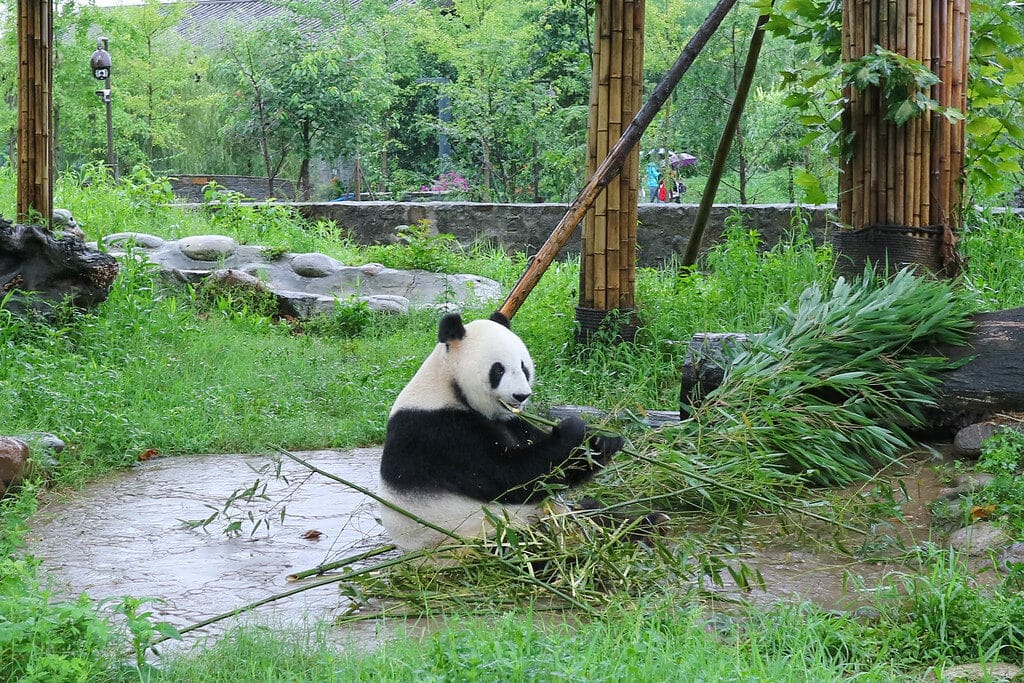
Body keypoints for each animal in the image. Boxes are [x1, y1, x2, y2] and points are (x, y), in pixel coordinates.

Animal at [378, 310, 623, 551]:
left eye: (524, 367)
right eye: (498, 369)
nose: (521, 396)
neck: (448, 385)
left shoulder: (511, 421)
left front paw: (603, 440)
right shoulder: (440, 433)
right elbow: (512, 477)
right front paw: (573, 430)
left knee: (603, 514)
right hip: (487, 537)